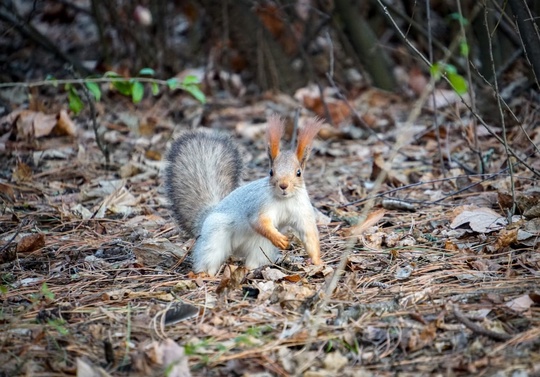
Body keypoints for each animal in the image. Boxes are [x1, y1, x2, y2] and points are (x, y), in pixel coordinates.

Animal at [165, 113, 322, 274]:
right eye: (271, 172)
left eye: (299, 173)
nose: (283, 185)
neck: (285, 200)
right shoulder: (259, 204)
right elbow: (258, 222)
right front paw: (279, 238)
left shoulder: (303, 211)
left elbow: (309, 234)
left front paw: (317, 261)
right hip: (214, 237)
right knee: (208, 258)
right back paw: (204, 275)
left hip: (261, 246)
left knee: (253, 260)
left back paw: (249, 270)